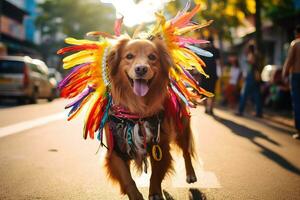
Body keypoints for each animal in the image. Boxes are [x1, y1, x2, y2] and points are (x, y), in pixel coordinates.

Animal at [105, 36, 197, 200]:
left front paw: (155, 193)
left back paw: (191, 174)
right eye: (129, 56)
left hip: (182, 128)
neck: (137, 109)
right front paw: (135, 196)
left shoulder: (160, 146)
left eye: (152, 57)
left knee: (186, 152)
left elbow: (156, 175)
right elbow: (127, 179)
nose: (141, 69)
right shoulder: (115, 150)